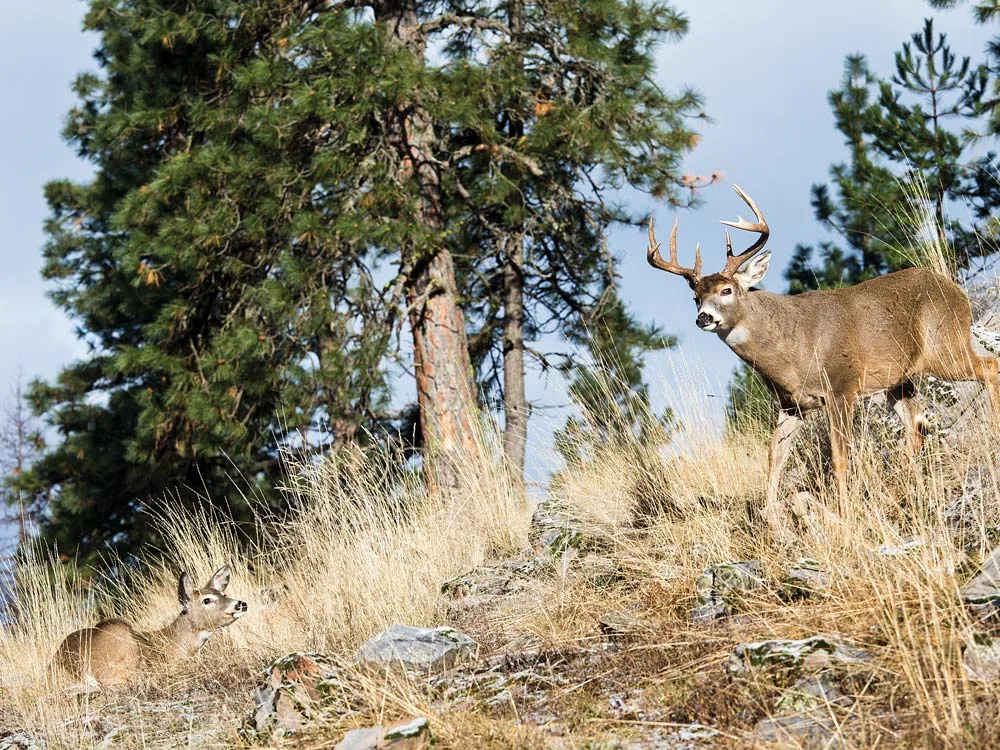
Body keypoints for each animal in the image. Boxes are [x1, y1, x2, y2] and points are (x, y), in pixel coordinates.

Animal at [648, 187, 1000, 540]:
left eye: (727, 290)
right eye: (696, 297)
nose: (703, 318)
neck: (793, 348)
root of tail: (956, 291)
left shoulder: (842, 387)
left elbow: (839, 457)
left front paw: (844, 518)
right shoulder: (793, 404)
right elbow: (774, 458)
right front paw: (772, 522)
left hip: (944, 347)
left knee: (990, 367)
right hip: (900, 380)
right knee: (916, 426)